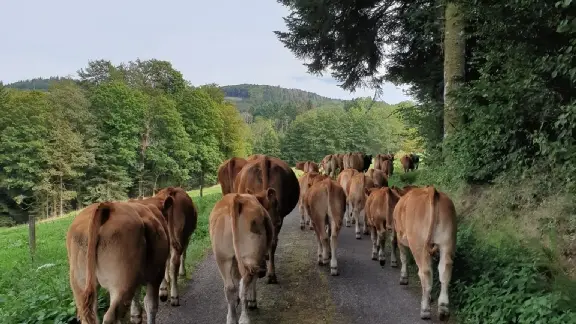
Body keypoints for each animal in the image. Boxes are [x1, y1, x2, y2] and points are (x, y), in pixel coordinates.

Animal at [210, 190, 276, 324]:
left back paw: (231, 318)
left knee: (229, 287)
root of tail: (237, 199)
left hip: (222, 257)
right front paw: (253, 301)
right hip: (251, 256)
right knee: (245, 283)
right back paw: (244, 318)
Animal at [392, 186, 454, 320]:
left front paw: (403, 277)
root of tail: (432, 190)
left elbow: (403, 257)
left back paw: (425, 310)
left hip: (420, 245)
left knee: (425, 273)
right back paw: (443, 308)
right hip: (447, 242)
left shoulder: (400, 238)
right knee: (445, 270)